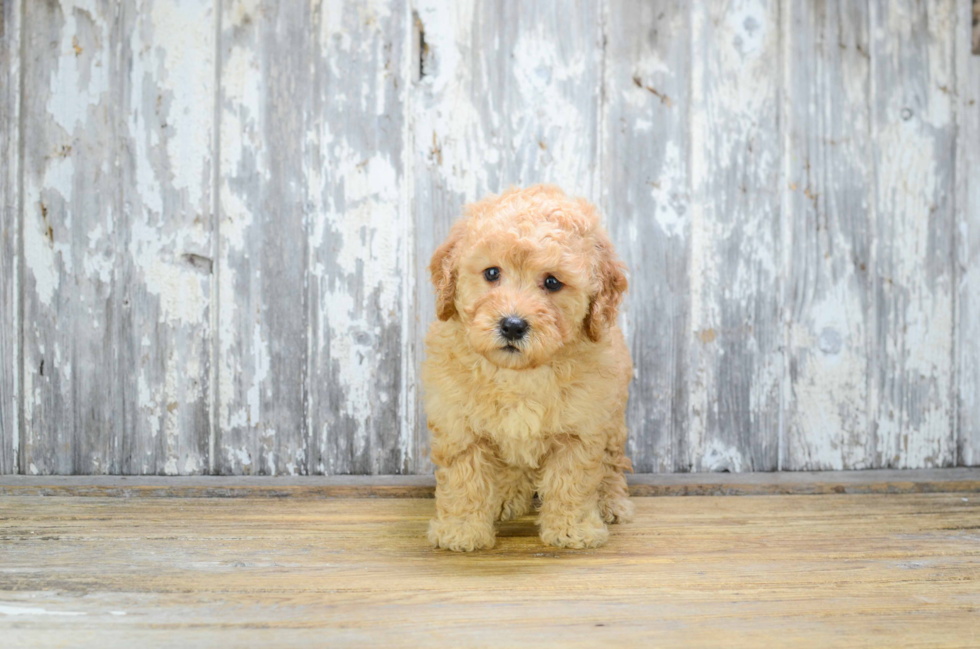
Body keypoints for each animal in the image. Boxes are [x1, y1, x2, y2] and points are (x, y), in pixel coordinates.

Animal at [424, 184, 636, 552]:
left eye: (552, 282)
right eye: (492, 273)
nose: (512, 325)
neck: (519, 374)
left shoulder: (582, 427)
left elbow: (573, 480)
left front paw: (572, 529)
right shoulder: (459, 426)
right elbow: (465, 480)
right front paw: (461, 531)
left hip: (613, 420)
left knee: (612, 464)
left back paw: (611, 503)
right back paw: (506, 498)